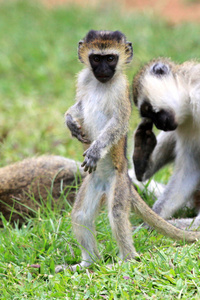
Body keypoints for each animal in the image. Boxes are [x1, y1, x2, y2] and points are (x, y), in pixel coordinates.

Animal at [133, 56, 200, 225]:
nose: (158, 125)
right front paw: (154, 221)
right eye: (148, 116)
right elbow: (189, 169)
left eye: (149, 109)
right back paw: (142, 160)